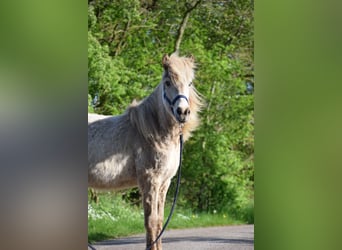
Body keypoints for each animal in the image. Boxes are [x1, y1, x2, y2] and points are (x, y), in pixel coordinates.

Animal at [87, 53, 203, 249]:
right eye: (167, 82)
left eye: (190, 83)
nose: (182, 112)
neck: (152, 132)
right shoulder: (150, 181)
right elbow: (151, 222)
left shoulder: (164, 183)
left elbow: (160, 222)